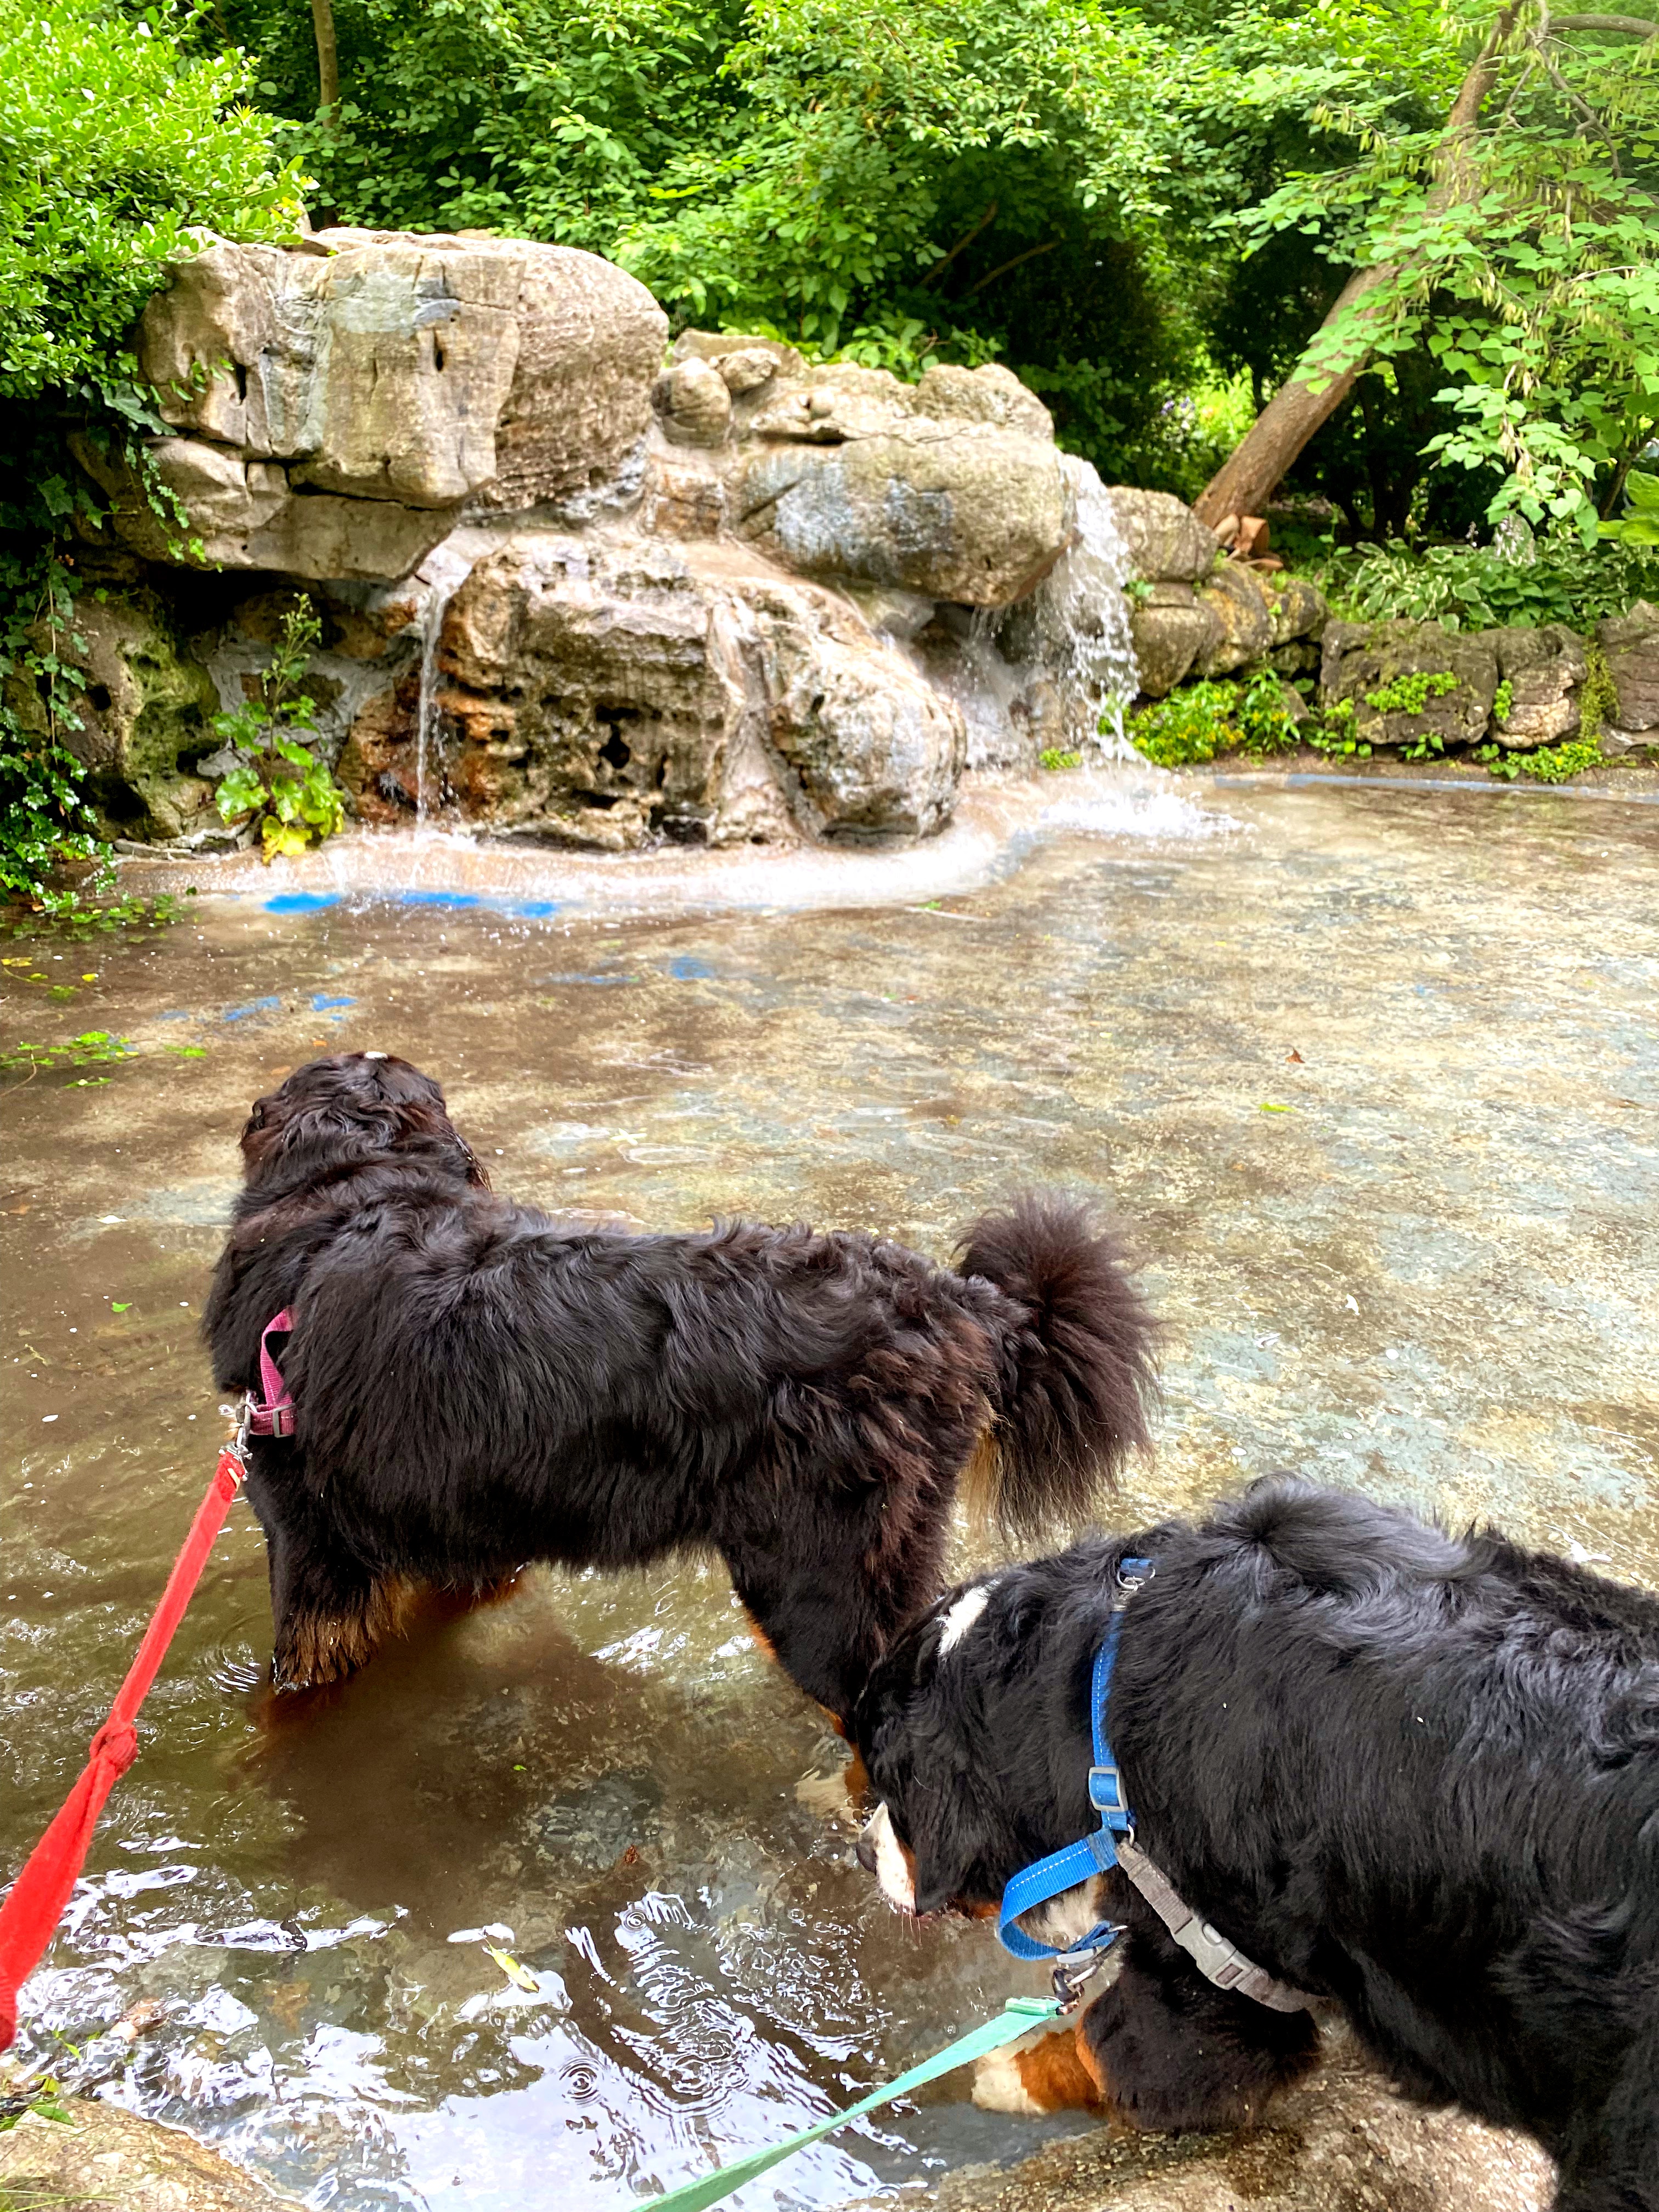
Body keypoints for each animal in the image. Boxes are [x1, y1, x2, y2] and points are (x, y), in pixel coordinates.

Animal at [858, 1477, 1659, 2203]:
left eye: (893, 1785)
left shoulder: (1213, 1965)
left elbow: (1116, 2047)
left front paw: (1000, 2074)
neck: (1094, 1710)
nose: (864, 1851)